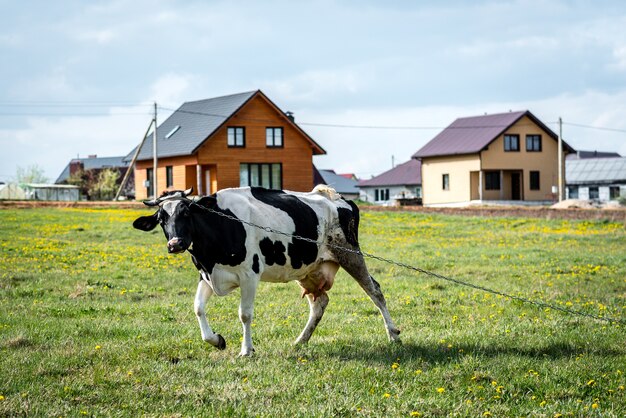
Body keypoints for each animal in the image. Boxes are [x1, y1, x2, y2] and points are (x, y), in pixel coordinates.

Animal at [133, 186, 400, 356]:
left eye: (187, 212)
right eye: (161, 218)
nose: (175, 243)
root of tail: (335, 197)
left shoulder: (249, 275)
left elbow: (245, 314)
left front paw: (246, 350)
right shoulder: (207, 275)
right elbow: (198, 308)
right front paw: (217, 340)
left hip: (350, 253)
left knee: (375, 291)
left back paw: (393, 334)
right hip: (309, 269)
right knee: (320, 303)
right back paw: (300, 340)